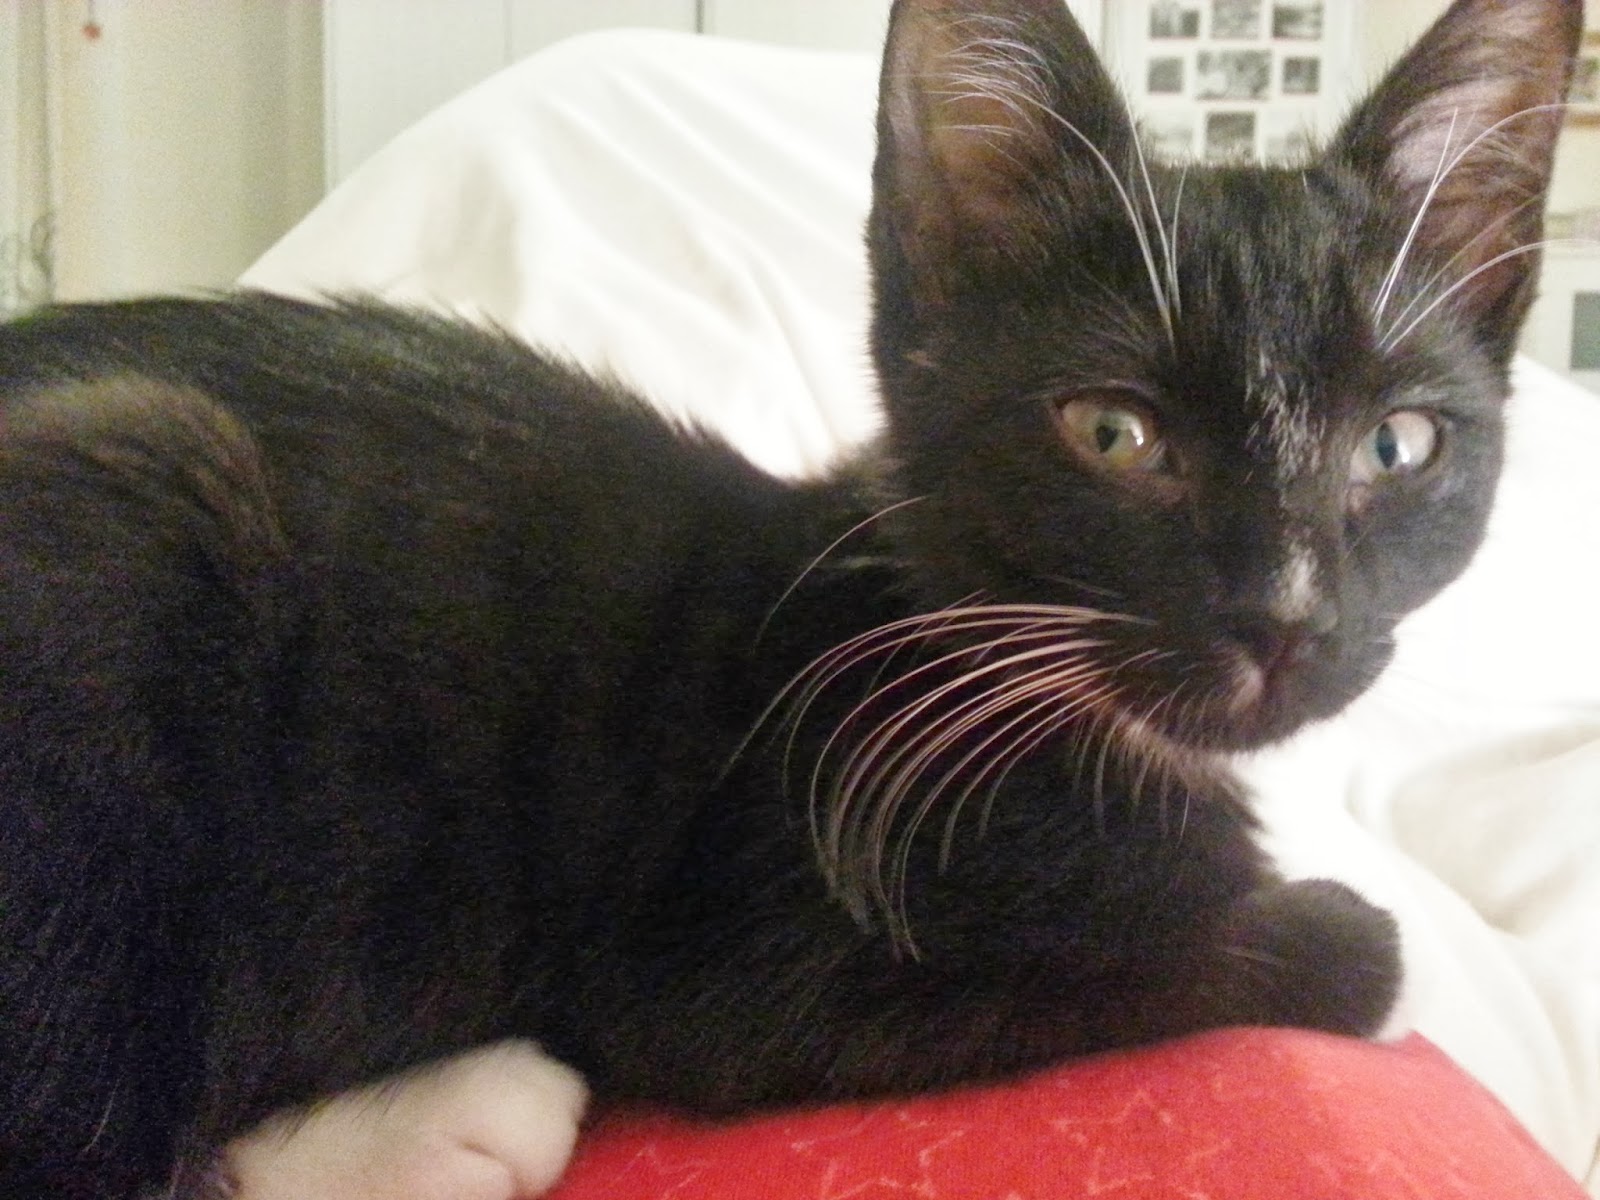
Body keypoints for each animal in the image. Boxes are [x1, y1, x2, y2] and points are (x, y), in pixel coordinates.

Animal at [0, 0, 1581, 1195]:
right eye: (1113, 433)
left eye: (1397, 446)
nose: (1282, 622)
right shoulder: (753, 946)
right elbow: (1243, 951)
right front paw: (1352, 934)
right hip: (130, 486)